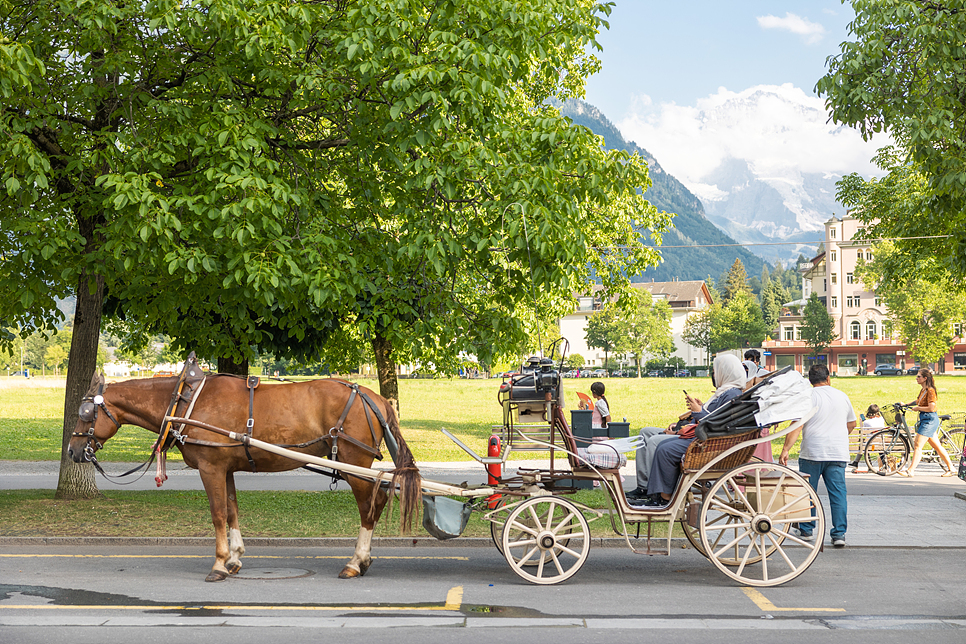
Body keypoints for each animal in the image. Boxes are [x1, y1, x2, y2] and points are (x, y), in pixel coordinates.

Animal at [64, 370, 420, 580]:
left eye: (86, 412)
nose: (72, 450)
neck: (186, 401)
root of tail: (376, 398)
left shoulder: (211, 468)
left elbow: (218, 514)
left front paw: (219, 563)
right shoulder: (227, 469)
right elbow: (233, 510)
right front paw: (234, 558)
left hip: (354, 461)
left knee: (371, 506)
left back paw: (356, 561)